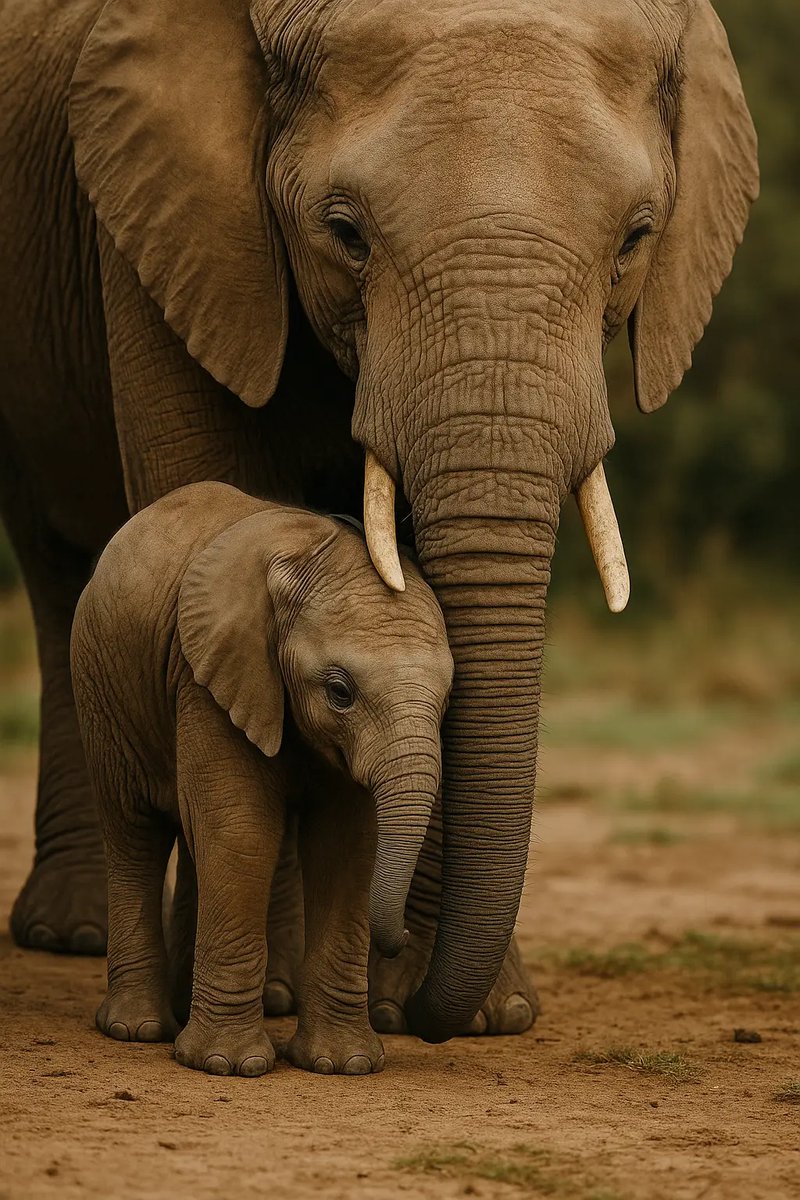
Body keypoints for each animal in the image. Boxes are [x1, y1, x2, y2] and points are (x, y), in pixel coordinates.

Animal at [71, 482, 454, 1075]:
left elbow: (347, 845)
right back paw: (137, 1029)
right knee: (135, 834)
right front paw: (226, 1065)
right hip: (102, 687)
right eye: (339, 692)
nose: (402, 937)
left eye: (447, 699)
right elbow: (241, 829)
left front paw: (344, 1065)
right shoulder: (206, 675)